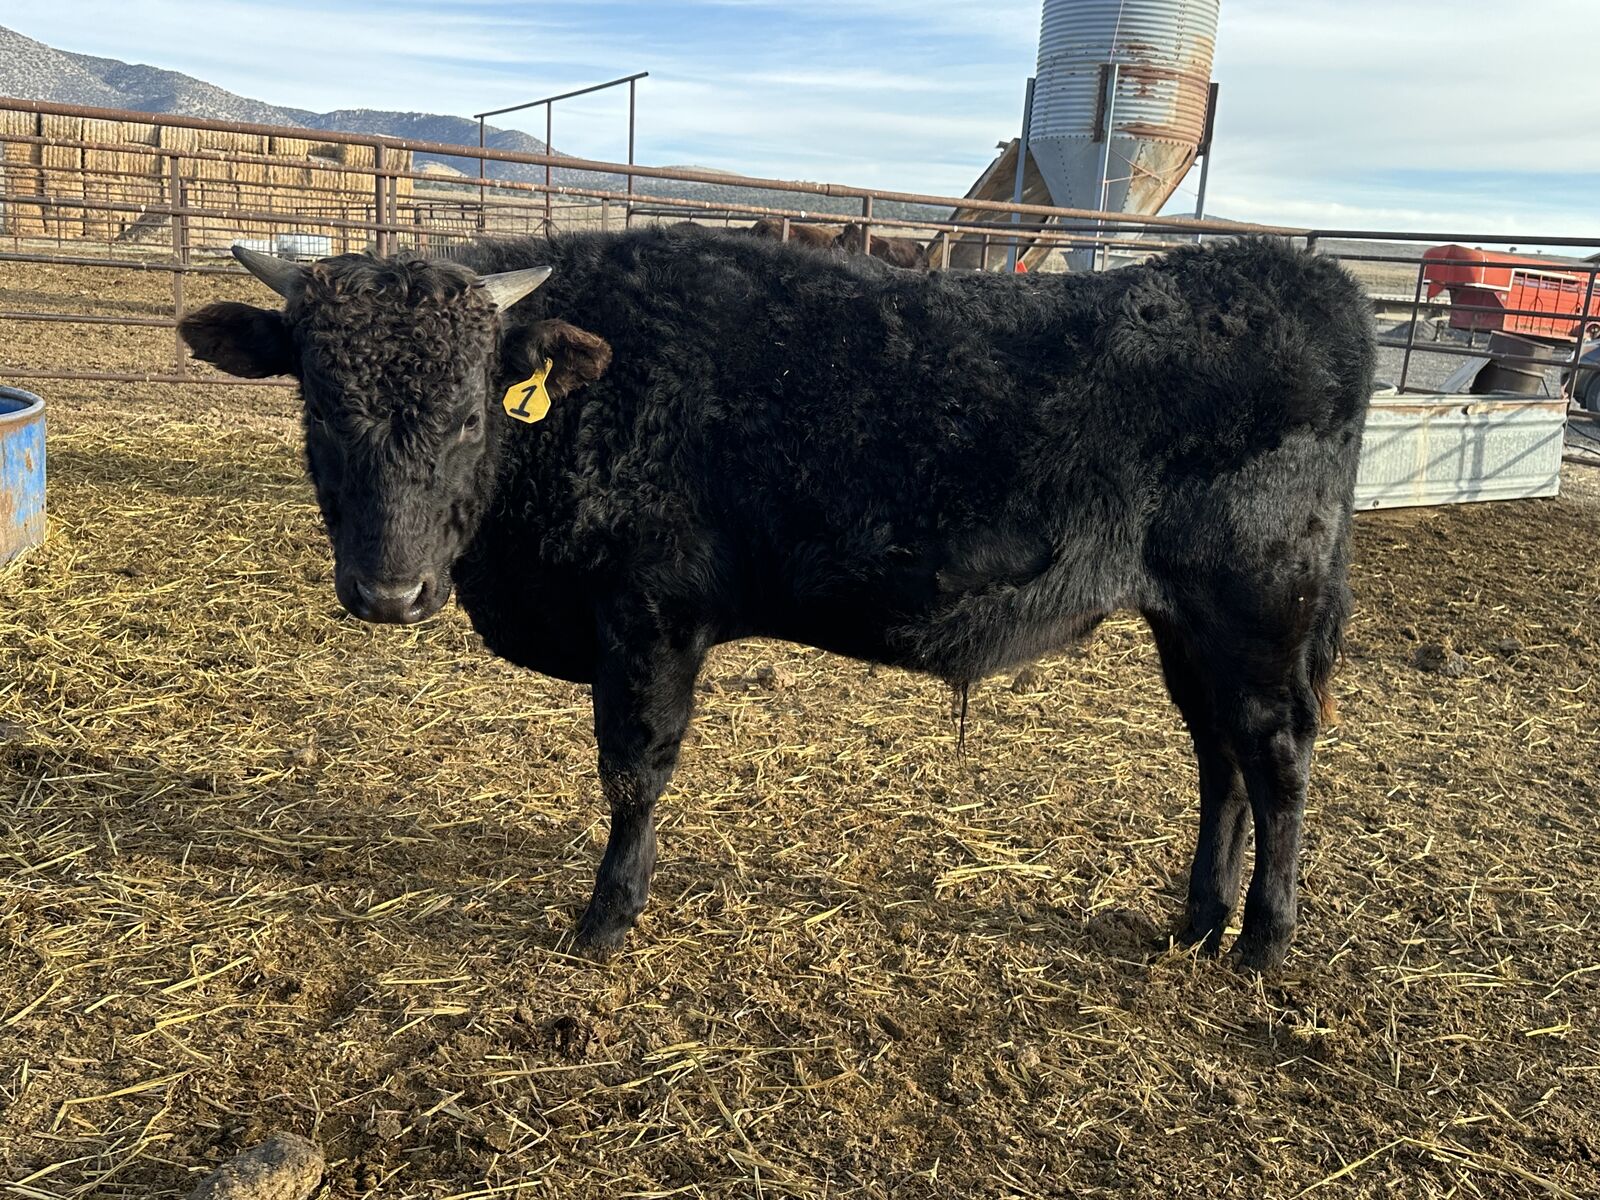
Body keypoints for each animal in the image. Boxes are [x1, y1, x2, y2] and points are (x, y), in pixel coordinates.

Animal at [178, 226, 1374, 970]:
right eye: (318, 406)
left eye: (472, 414)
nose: (389, 592)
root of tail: (1291, 275)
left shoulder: (650, 620)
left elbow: (634, 772)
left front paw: (605, 919)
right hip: (1191, 627)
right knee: (1218, 760)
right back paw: (1196, 923)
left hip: (1259, 612)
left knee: (1276, 761)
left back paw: (1262, 943)